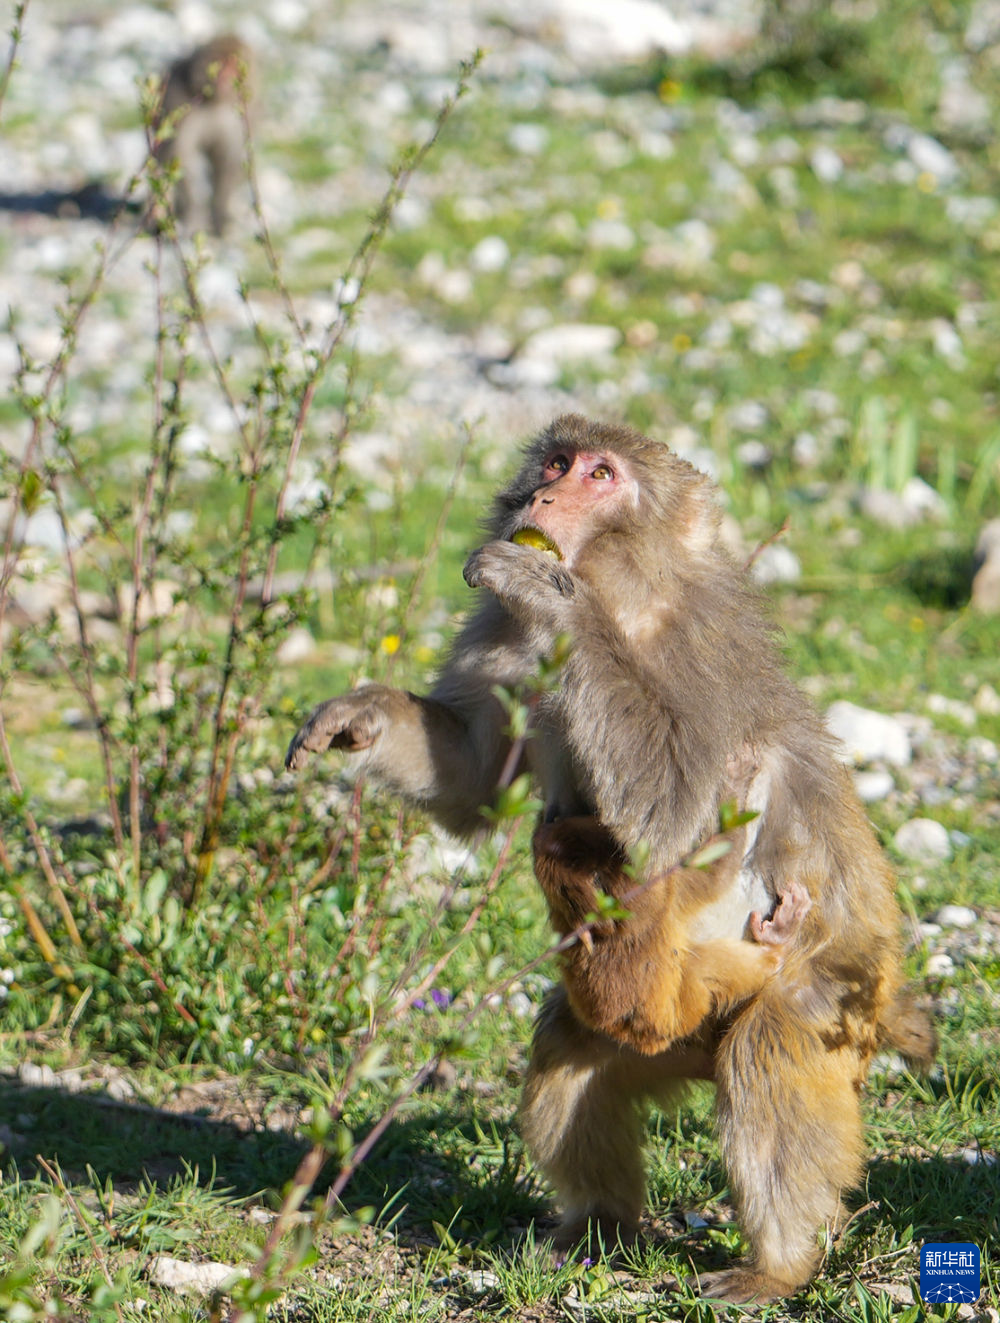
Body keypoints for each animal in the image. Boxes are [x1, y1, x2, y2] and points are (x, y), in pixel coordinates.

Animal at [151, 35, 253, 237]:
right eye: (222, 64)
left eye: (235, 66)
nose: (226, 78)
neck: (214, 102)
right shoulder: (179, 102)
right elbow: (180, 154)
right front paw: (194, 214)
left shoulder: (240, 117)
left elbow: (229, 161)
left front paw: (221, 217)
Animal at [286, 414, 936, 1304]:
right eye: (557, 462)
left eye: (601, 474)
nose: (544, 497)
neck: (621, 590)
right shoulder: (501, 646)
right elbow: (477, 779)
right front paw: (363, 713)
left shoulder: (702, 659)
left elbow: (676, 809)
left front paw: (549, 594)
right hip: (658, 1029)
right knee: (569, 1051)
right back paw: (597, 1227)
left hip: (833, 1002)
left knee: (767, 1053)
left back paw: (777, 1263)